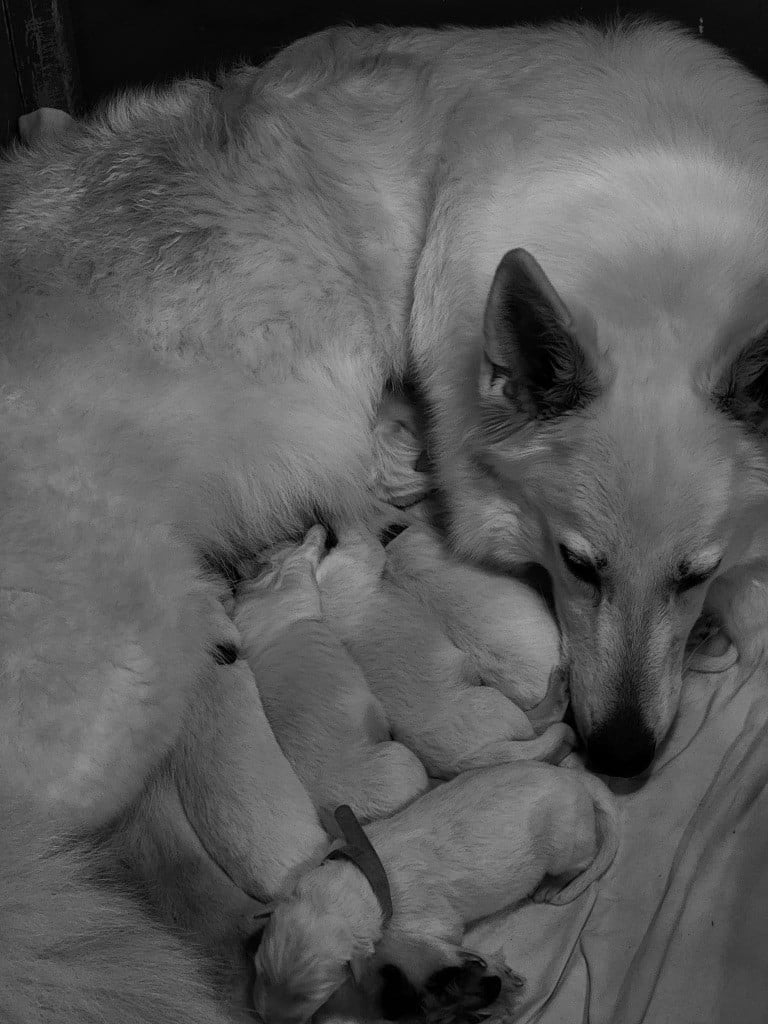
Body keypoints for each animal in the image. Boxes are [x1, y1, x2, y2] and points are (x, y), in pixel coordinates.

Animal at [231, 528, 430, 823]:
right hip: (396, 763)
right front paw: (316, 535)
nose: (315, 527)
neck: (262, 589)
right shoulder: (295, 585)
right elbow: (300, 559)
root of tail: (329, 811)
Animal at [252, 761, 618, 1024]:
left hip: (567, 843)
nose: (267, 1021)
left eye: (312, 996)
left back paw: (551, 885)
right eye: (260, 971)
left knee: (581, 861)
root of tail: (572, 776)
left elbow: (436, 946)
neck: (360, 874)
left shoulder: (422, 923)